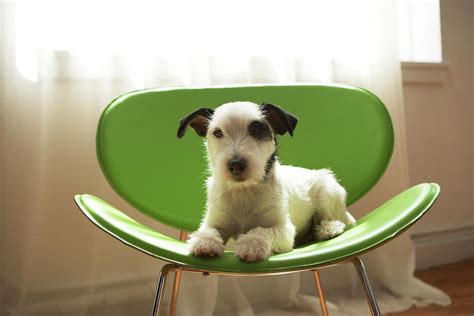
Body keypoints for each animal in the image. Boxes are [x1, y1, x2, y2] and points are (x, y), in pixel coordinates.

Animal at [178, 101, 356, 262]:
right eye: (217, 132)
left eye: (256, 129)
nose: (236, 165)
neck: (244, 191)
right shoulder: (216, 220)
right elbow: (208, 229)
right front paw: (205, 241)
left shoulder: (284, 229)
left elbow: (263, 230)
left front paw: (252, 244)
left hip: (328, 192)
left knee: (338, 219)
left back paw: (329, 228)